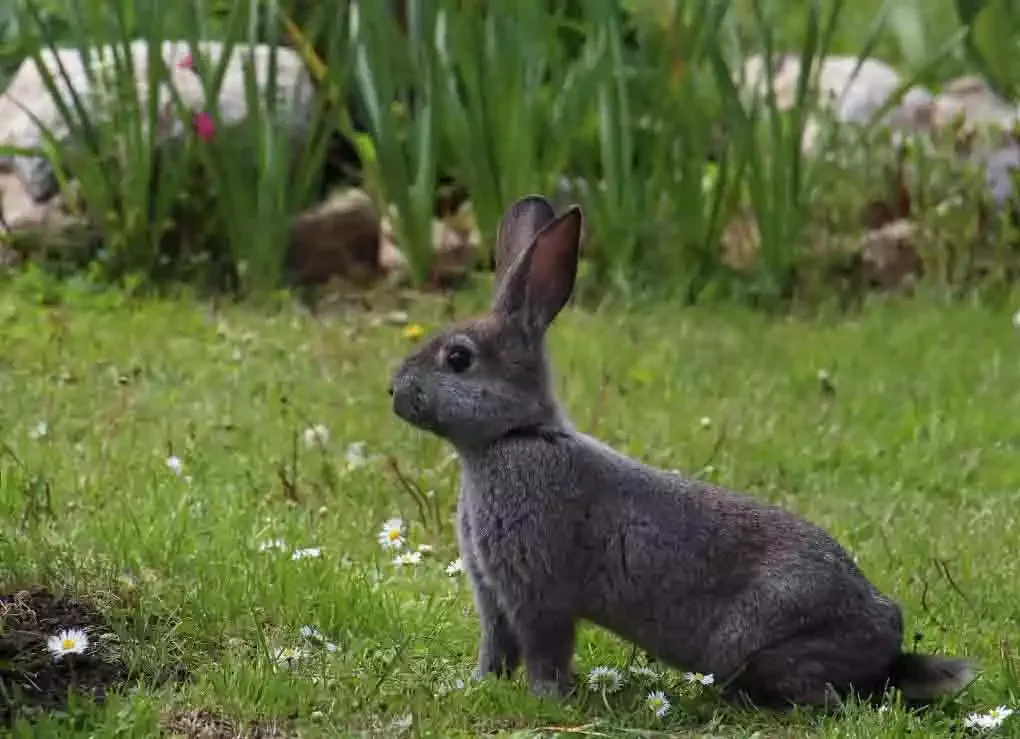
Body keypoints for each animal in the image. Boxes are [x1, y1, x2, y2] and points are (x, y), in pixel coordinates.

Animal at [387, 194, 976, 709]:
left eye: (458, 359)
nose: (393, 389)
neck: (514, 435)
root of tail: (887, 640)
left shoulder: (537, 593)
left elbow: (544, 651)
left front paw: (545, 700)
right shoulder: (492, 595)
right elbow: (496, 647)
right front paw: (477, 685)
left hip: (756, 645)